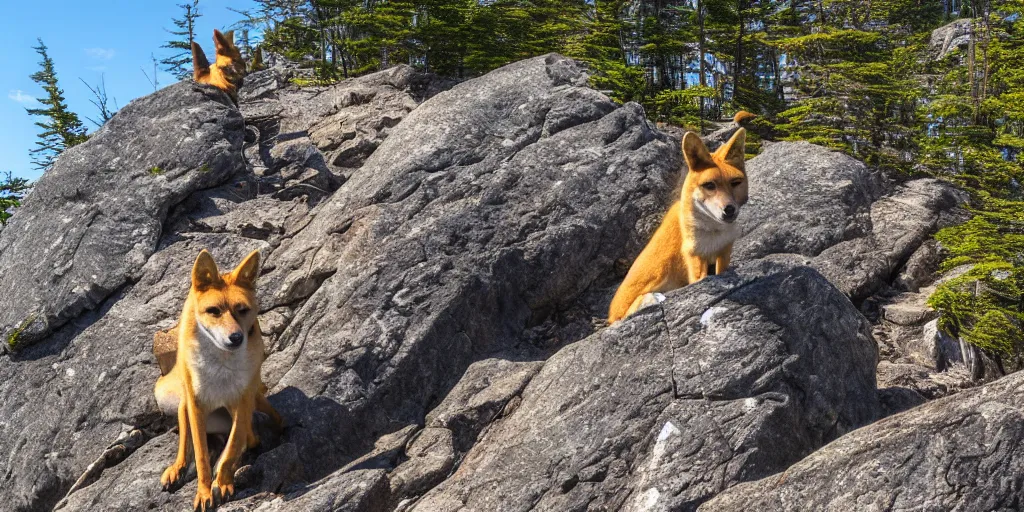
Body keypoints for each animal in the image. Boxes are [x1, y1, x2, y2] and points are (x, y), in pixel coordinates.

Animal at [151, 249, 282, 509]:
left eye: (242, 310)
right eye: (214, 311)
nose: (236, 337)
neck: (221, 365)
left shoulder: (241, 401)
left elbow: (232, 448)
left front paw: (222, 483)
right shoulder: (196, 405)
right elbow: (201, 455)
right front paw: (204, 492)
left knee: (250, 437)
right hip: (177, 403)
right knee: (188, 445)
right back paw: (177, 469)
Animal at [602, 128, 749, 321]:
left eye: (735, 183)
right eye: (709, 185)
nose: (729, 210)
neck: (714, 234)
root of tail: (610, 318)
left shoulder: (724, 250)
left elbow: (722, 270)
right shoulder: (694, 255)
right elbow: (700, 277)